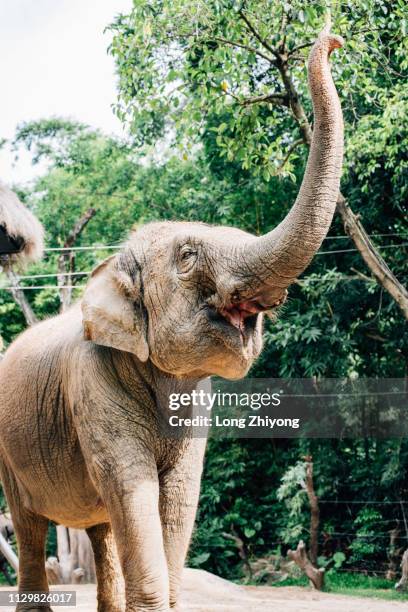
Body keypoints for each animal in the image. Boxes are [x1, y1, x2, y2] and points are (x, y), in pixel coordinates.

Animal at [0, 28, 344, 612]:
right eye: (186, 257)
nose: (331, 38)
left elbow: (180, 498)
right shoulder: (91, 384)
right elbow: (131, 485)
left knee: (100, 530)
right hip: (8, 452)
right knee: (29, 527)